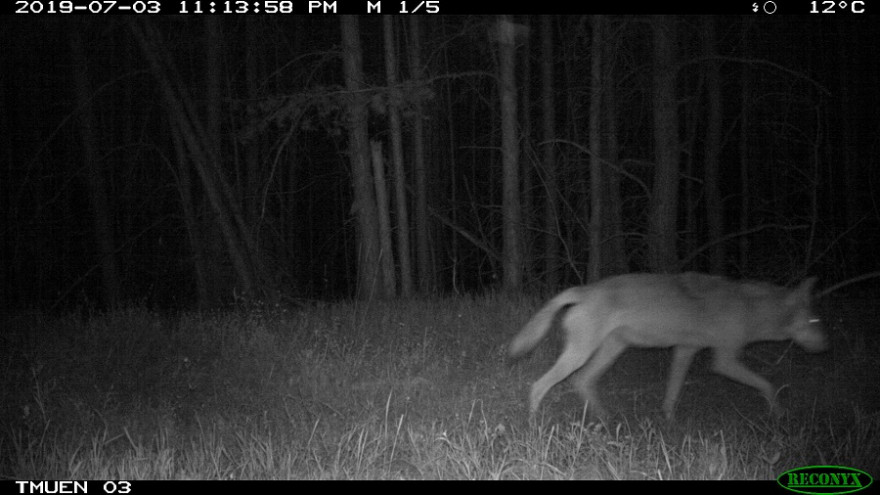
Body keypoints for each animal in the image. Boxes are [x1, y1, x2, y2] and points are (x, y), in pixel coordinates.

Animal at [508, 274, 824, 420]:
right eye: (813, 320)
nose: (827, 344)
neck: (749, 308)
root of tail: (584, 290)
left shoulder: (685, 349)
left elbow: (673, 391)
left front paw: (669, 420)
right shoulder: (724, 359)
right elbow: (767, 384)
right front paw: (779, 413)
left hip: (611, 350)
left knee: (582, 382)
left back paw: (606, 421)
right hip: (581, 354)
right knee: (539, 385)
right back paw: (534, 423)